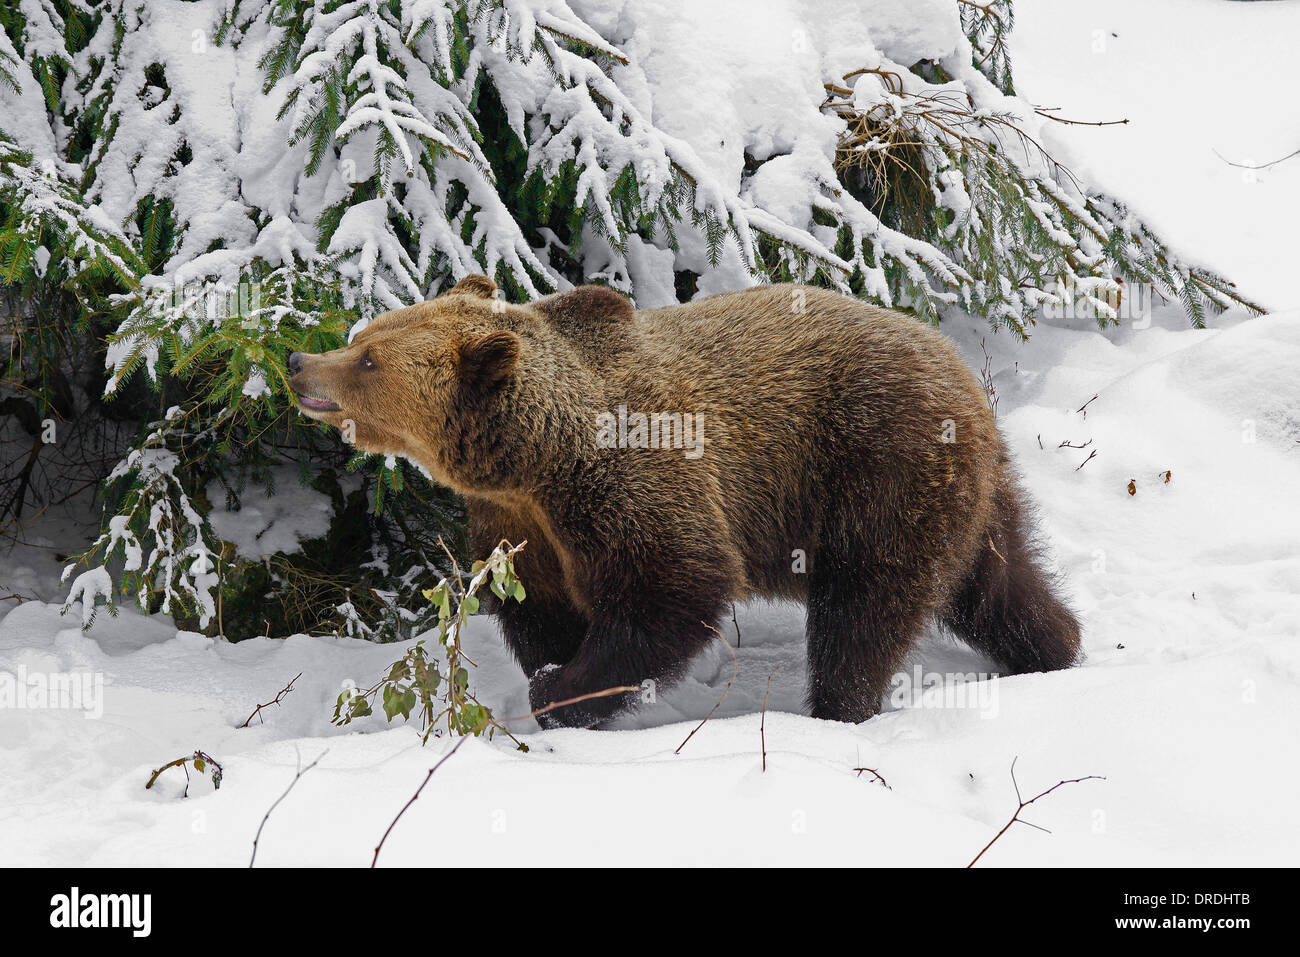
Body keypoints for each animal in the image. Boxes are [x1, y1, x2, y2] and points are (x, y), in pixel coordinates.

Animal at [288, 275, 1080, 729]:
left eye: (368, 359)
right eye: (365, 332)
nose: (298, 361)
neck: (535, 458)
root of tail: (957, 365)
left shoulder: (628, 483)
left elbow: (672, 587)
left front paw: (564, 693)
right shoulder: (519, 522)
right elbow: (538, 605)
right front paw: (550, 674)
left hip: (875, 468)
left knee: (867, 607)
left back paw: (838, 708)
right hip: (965, 488)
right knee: (998, 580)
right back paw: (1055, 648)